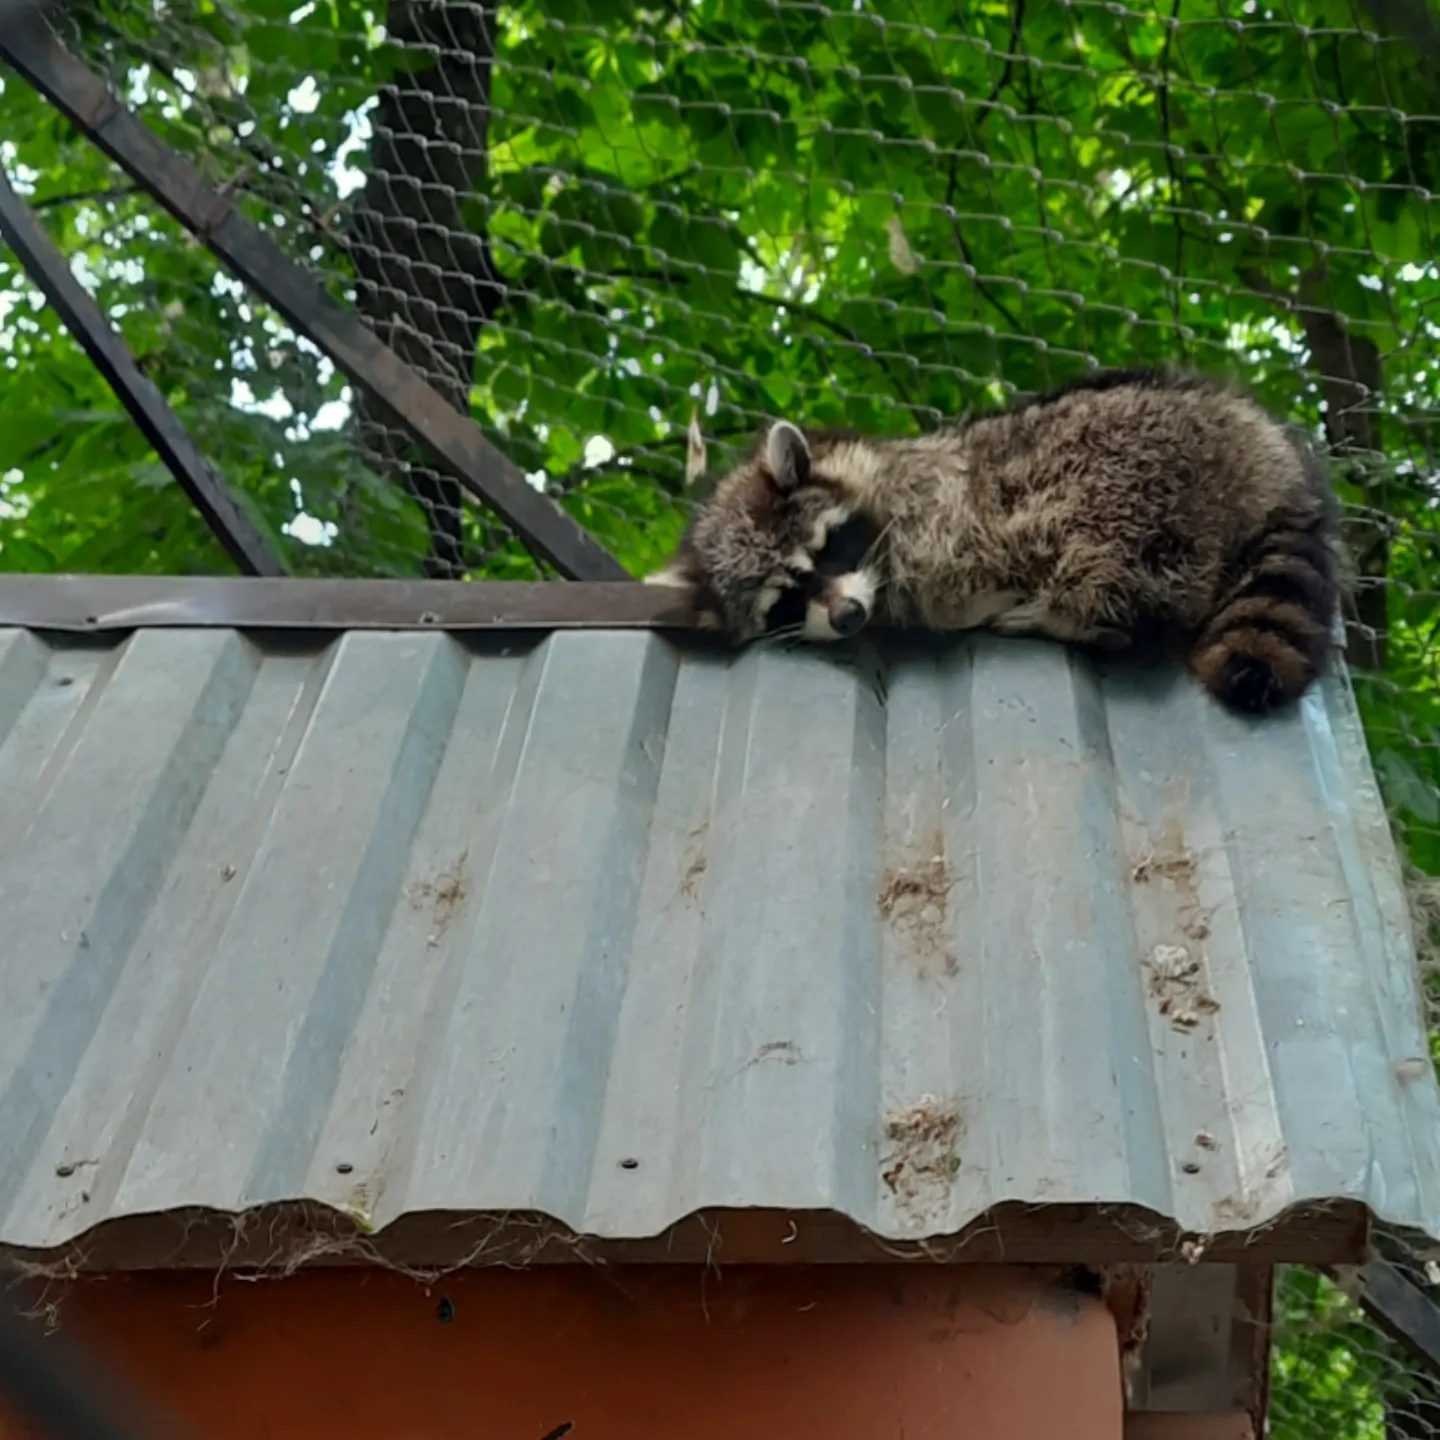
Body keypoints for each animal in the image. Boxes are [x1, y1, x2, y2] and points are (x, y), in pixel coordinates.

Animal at [648, 365, 1342, 714]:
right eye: (784, 600)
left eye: (824, 549)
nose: (847, 616)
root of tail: (1260, 449)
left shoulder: (934, 513)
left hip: (1135, 470)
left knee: (1106, 555)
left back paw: (1076, 613)